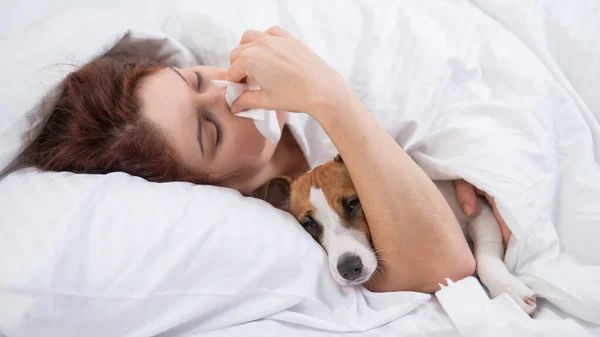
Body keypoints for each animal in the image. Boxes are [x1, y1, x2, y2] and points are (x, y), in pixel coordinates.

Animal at [255, 155, 536, 316]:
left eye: (354, 203)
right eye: (307, 224)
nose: (349, 268)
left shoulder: (479, 212)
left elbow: (485, 258)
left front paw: (509, 289)